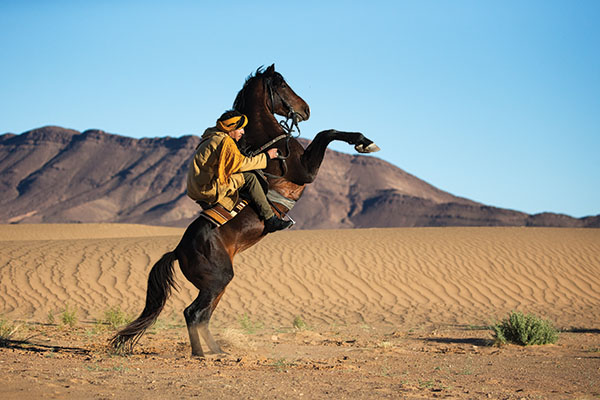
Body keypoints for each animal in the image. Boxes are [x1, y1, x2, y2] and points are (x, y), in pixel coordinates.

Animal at [110, 65, 378, 356]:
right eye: (282, 84)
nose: (305, 109)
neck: (271, 144)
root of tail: (178, 250)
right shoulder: (306, 170)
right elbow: (326, 133)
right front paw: (364, 142)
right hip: (218, 279)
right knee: (192, 313)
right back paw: (200, 354)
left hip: (217, 286)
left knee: (202, 316)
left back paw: (217, 351)